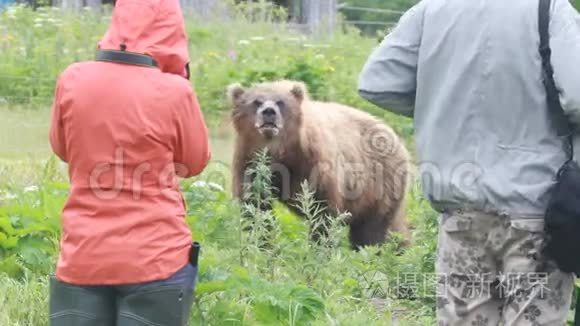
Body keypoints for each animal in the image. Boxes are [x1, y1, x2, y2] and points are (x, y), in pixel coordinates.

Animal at [227, 80, 412, 248]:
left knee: (371, 229)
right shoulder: (250, 162)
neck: (281, 152)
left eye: (281, 102)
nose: (269, 112)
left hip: (379, 183)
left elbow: (322, 209)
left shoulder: (314, 164)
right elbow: (255, 205)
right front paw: (260, 243)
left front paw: (318, 247)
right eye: (256, 102)